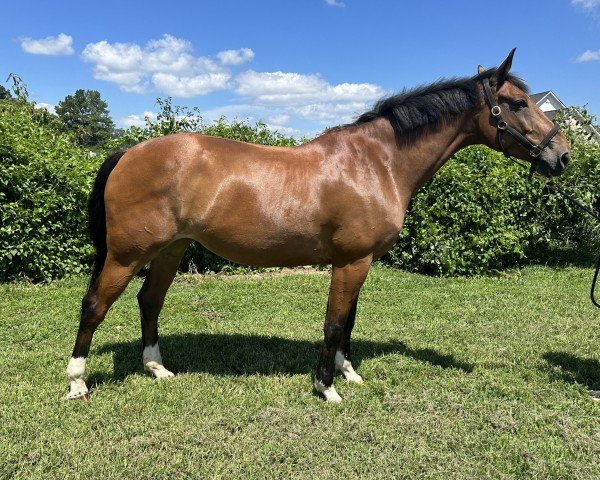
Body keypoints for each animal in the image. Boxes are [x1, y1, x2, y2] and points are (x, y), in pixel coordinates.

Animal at [68, 49, 568, 402]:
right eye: (516, 103)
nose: (561, 155)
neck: (376, 163)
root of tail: (128, 152)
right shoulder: (350, 261)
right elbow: (333, 323)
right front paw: (327, 387)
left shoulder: (361, 261)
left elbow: (349, 322)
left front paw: (349, 372)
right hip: (126, 254)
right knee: (95, 306)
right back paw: (77, 382)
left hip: (170, 249)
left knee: (149, 302)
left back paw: (157, 368)